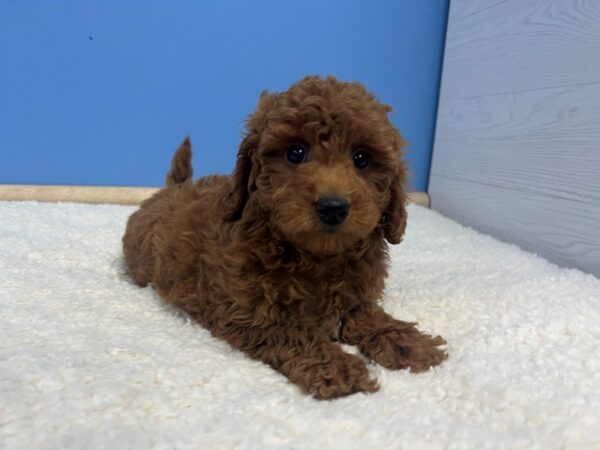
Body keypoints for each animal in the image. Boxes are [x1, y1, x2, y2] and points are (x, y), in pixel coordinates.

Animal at [122, 75, 446, 400]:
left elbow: (370, 317)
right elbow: (295, 332)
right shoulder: (247, 313)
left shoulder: (356, 298)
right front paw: (336, 367)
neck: (317, 256)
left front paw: (409, 342)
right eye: (295, 153)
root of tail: (171, 189)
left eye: (362, 159)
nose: (332, 207)